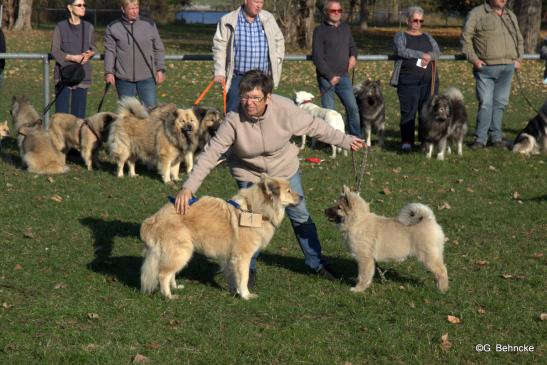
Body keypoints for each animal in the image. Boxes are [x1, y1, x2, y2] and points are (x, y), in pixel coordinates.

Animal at [138, 175, 300, 300]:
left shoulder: (230, 258)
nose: (302, 197)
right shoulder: (243, 257)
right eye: (289, 191)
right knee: (163, 274)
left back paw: (176, 287)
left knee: (170, 273)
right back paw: (169, 296)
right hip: (182, 251)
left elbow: (233, 276)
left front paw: (234, 291)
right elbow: (244, 277)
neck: (256, 211)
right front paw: (246, 295)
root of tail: (154, 219)